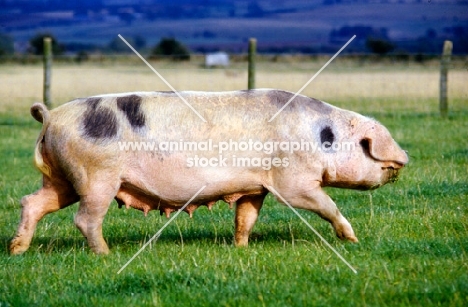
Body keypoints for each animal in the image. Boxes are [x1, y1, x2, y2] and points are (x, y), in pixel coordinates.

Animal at [9, 88, 408, 255]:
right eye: (370, 147)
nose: (405, 158)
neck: (318, 136)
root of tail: (50, 117)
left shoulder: (255, 186)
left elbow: (246, 217)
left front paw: (241, 248)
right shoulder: (291, 181)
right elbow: (325, 204)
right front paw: (352, 240)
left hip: (63, 178)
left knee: (33, 202)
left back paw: (16, 250)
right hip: (96, 177)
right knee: (85, 218)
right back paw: (106, 254)